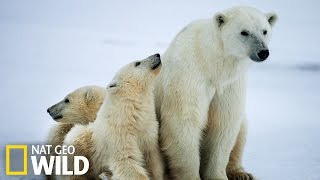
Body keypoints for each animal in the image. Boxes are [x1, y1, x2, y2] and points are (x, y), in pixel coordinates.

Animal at [154, 5, 276, 180]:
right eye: (244, 32)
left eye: (264, 31)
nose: (263, 52)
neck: (212, 63)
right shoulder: (189, 76)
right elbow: (184, 122)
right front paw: (192, 176)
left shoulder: (230, 85)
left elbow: (223, 125)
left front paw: (218, 176)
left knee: (242, 129)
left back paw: (241, 173)